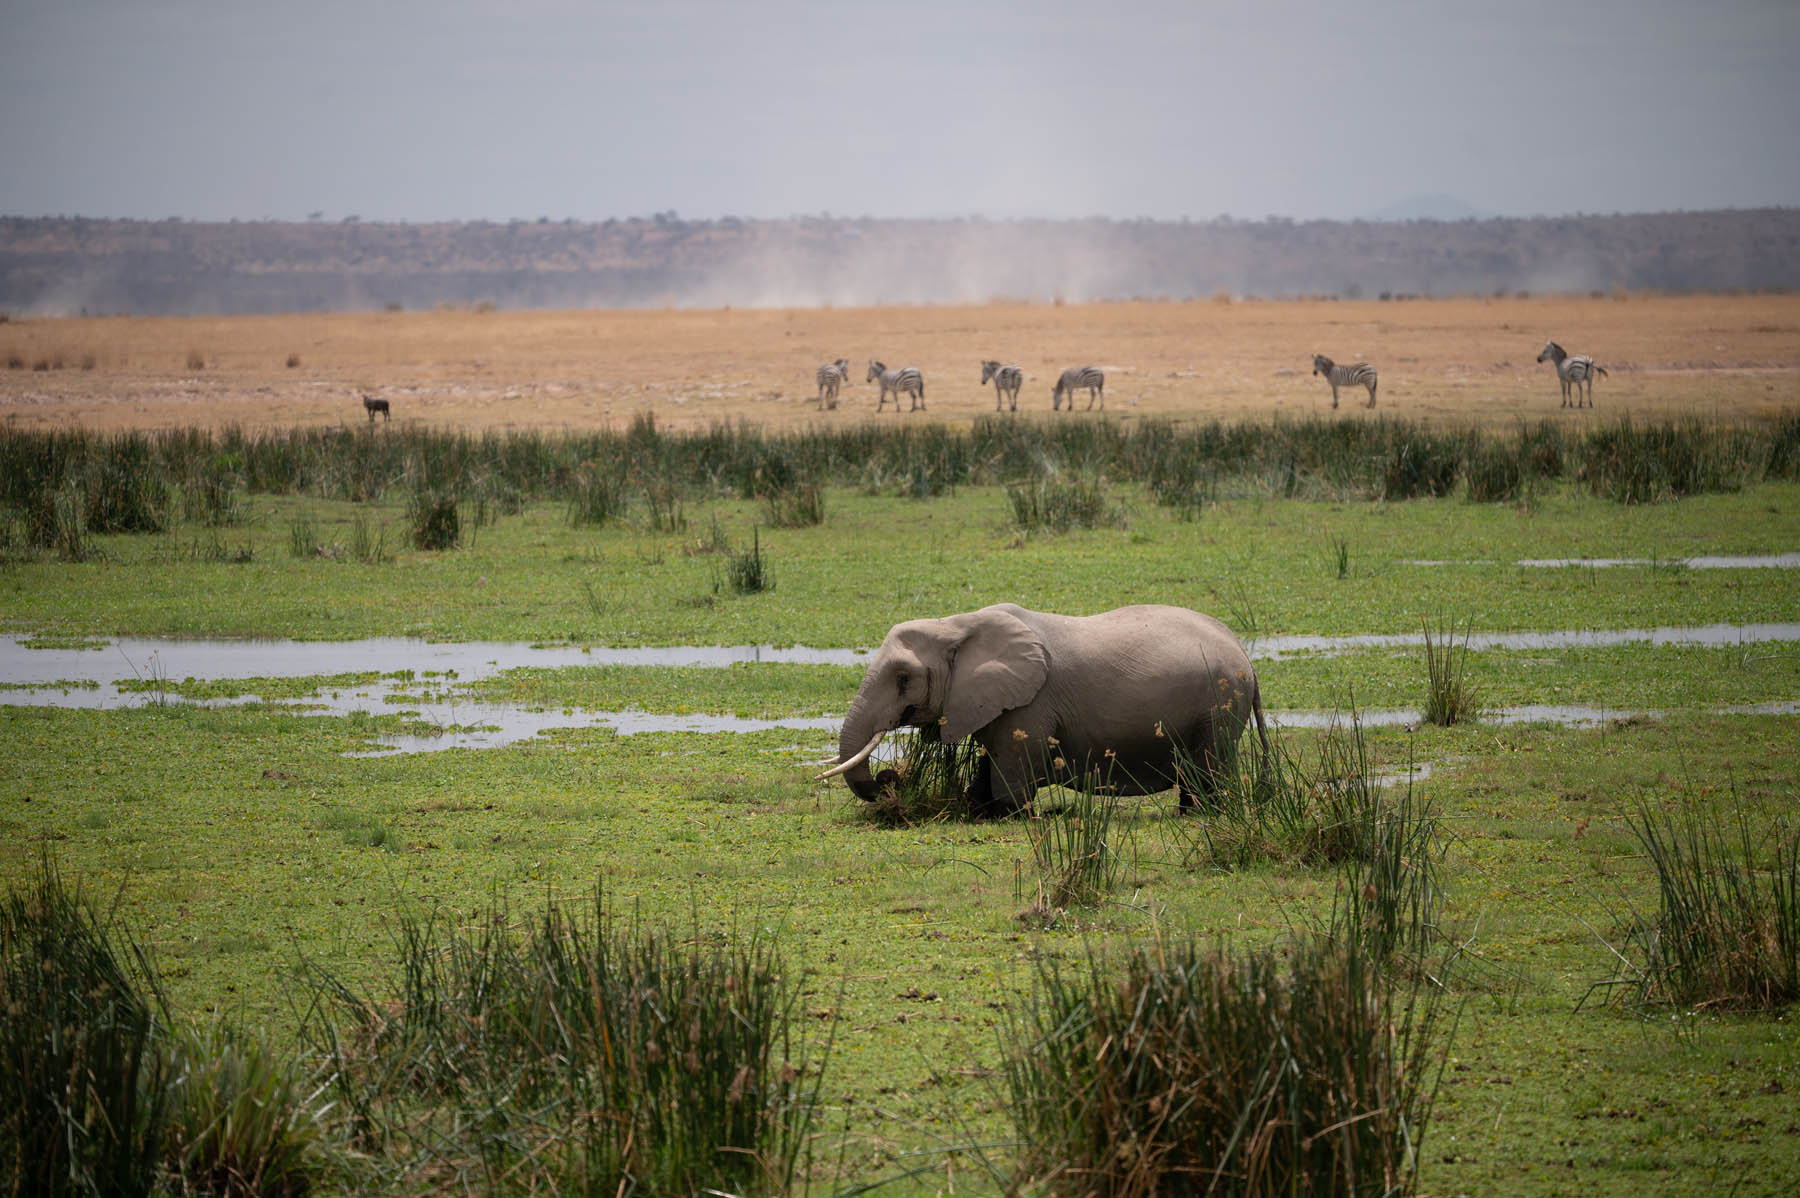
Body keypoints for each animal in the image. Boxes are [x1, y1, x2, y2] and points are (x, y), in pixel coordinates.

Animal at [819, 603, 1271, 815]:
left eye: (903, 678)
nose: (889, 777)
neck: (956, 624)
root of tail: (1246, 659)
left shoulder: (1031, 703)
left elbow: (1012, 775)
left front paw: (1006, 814)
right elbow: (990, 765)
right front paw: (976, 808)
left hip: (1218, 706)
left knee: (1208, 770)